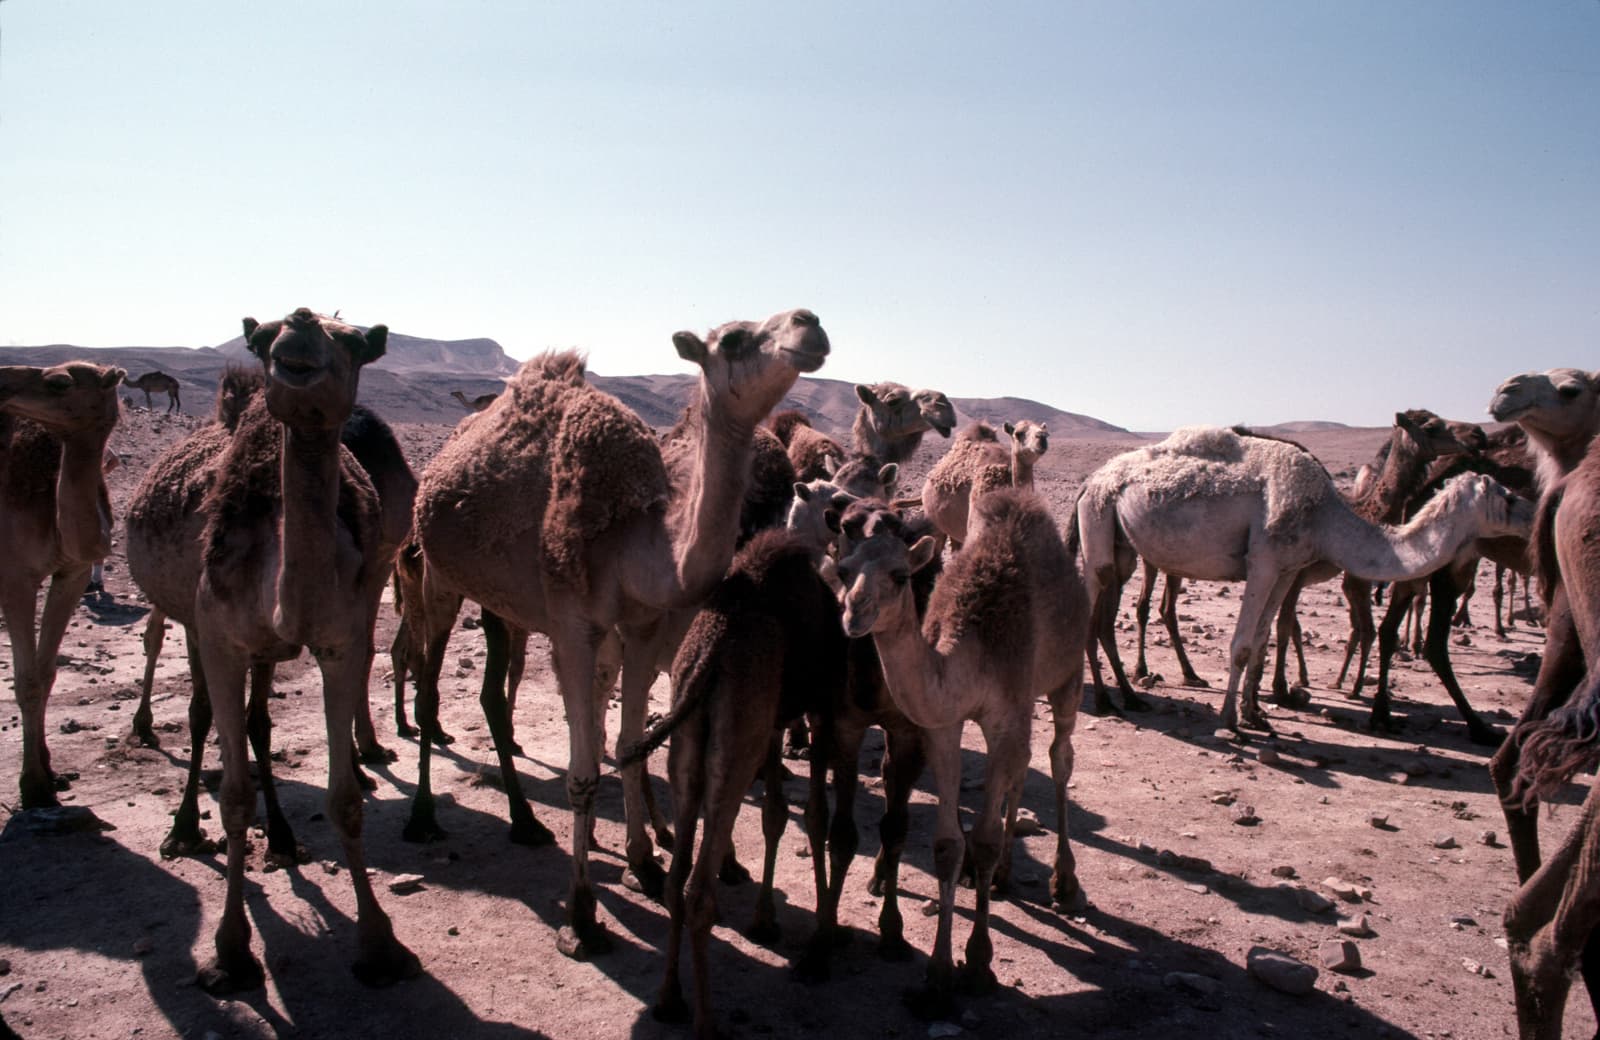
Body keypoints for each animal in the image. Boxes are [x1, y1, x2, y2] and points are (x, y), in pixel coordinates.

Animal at [0, 362, 124, 807]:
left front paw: (51, 773)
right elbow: (27, 680)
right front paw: (33, 785)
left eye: (59, 382)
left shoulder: (72, 572)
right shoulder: (15, 576)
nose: (3, 381)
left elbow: (46, 672)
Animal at [184, 308, 416, 992]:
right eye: (264, 339)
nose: (303, 320)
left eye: (356, 342)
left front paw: (378, 944)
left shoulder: (341, 637)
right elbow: (235, 800)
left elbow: (344, 801)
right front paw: (230, 951)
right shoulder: (218, 639)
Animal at [407, 308, 829, 958]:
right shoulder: (574, 624)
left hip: (505, 603)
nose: (809, 324)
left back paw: (526, 822)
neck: (635, 537)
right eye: (734, 339)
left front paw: (642, 863)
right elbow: (582, 774)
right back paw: (427, 817)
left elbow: (630, 745)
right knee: (430, 683)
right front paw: (581, 918)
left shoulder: (641, 626)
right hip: (437, 573)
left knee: (497, 694)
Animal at [837, 491, 1088, 1016]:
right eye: (844, 569)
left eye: (900, 575)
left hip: (1068, 671)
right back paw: (1005, 876)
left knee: (1059, 758)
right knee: (1024, 769)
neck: (970, 653)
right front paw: (937, 974)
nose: (854, 613)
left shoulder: (1005, 714)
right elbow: (948, 844)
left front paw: (977, 963)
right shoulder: (944, 726)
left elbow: (985, 838)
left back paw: (1064, 882)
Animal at [1073, 426, 1531, 733]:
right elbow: (1242, 645)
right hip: (1098, 521)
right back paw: (1104, 700)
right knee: (1093, 606)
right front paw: (1230, 720)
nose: (1532, 516)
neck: (1326, 514)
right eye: (1508, 497)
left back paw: (1130, 697)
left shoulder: (1287, 568)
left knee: (1106, 614)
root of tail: (1090, 481)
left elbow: (1262, 640)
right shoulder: (1264, 560)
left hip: (1122, 544)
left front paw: (1255, 713)